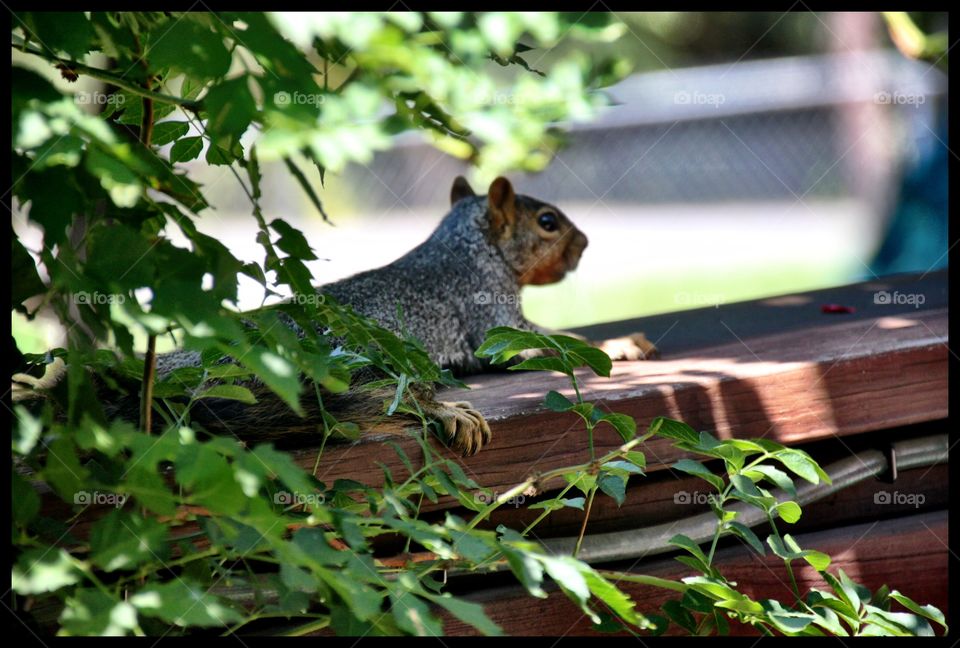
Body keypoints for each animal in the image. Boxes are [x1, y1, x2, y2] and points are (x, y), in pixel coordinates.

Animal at [13, 178, 660, 456]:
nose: (585, 245)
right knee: (370, 404)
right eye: (547, 223)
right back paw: (446, 409)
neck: (464, 248)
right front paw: (622, 343)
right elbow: (557, 342)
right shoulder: (493, 318)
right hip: (346, 360)